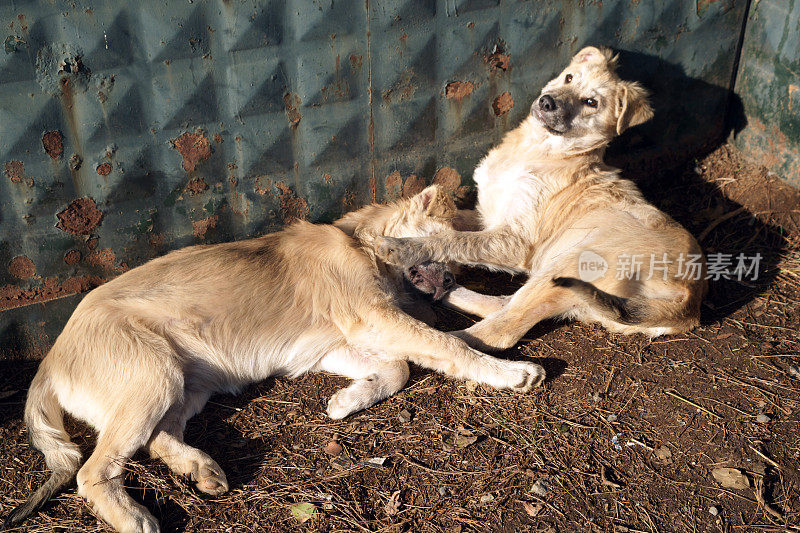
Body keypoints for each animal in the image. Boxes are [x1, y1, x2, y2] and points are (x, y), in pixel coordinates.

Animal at [4, 184, 544, 532]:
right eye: (440, 251)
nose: (452, 284)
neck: (362, 246)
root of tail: (49, 361)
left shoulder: (335, 345)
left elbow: (398, 367)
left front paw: (349, 400)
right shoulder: (373, 319)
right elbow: (447, 345)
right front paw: (511, 372)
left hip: (186, 384)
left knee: (156, 440)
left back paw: (199, 467)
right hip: (153, 377)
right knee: (92, 472)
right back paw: (134, 517)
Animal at [376, 47, 708, 352]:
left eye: (591, 103)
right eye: (569, 77)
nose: (547, 102)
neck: (536, 149)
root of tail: (690, 301)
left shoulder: (516, 241)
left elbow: (455, 240)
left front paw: (402, 247)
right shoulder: (488, 214)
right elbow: (452, 223)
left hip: (569, 262)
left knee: (501, 330)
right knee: (503, 305)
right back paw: (445, 291)